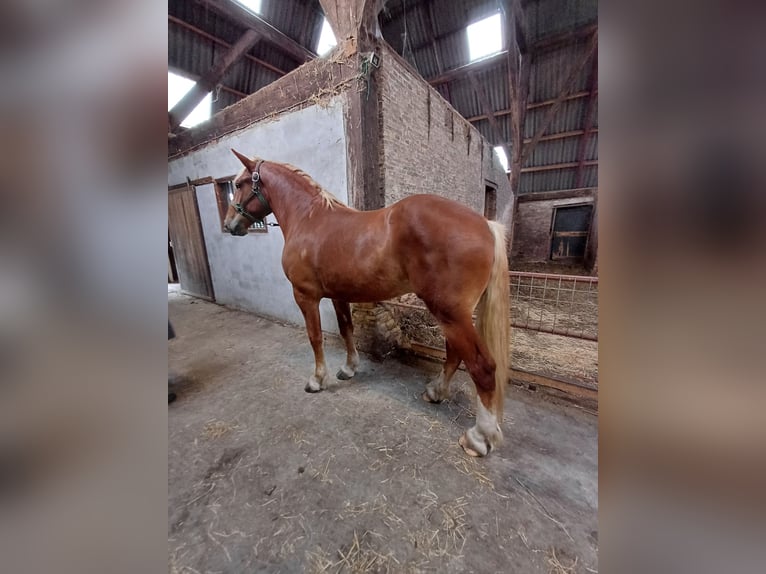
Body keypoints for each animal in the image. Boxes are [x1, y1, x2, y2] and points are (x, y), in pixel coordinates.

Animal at [222, 151, 510, 456]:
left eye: (239, 184)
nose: (229, 225)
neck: (308, 219)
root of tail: (485, 225)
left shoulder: (305, 296)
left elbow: (315, 337)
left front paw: (317, 380)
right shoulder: (338, 295)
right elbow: (346, 330)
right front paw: (349, 369)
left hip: (450, 313)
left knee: (482, 367)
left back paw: (479, 437)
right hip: (455, 315)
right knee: (455, 355)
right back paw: (436, 392)